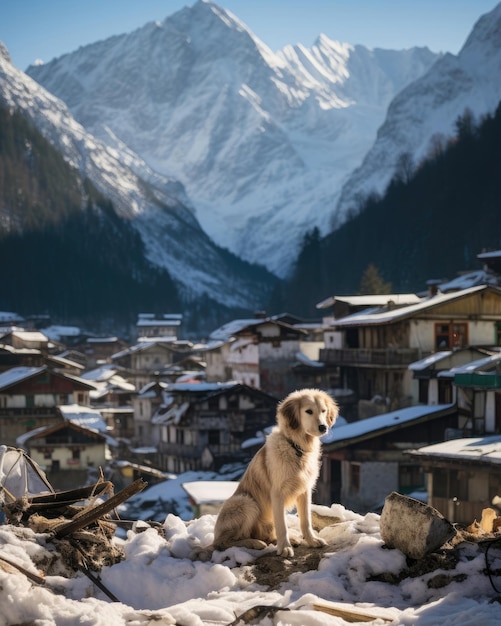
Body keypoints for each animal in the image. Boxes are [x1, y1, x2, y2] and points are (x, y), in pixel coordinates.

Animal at [213, 386, 338, 556]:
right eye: (309, 411)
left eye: (324, 411)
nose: (323, 427)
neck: (296, 447)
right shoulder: (277, 493)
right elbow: (282, 525)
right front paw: (284, 548)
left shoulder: (305, 491)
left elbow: (305, 520)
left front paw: (312, 541)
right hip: (246, 502)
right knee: (224, 542)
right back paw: (254, 543)